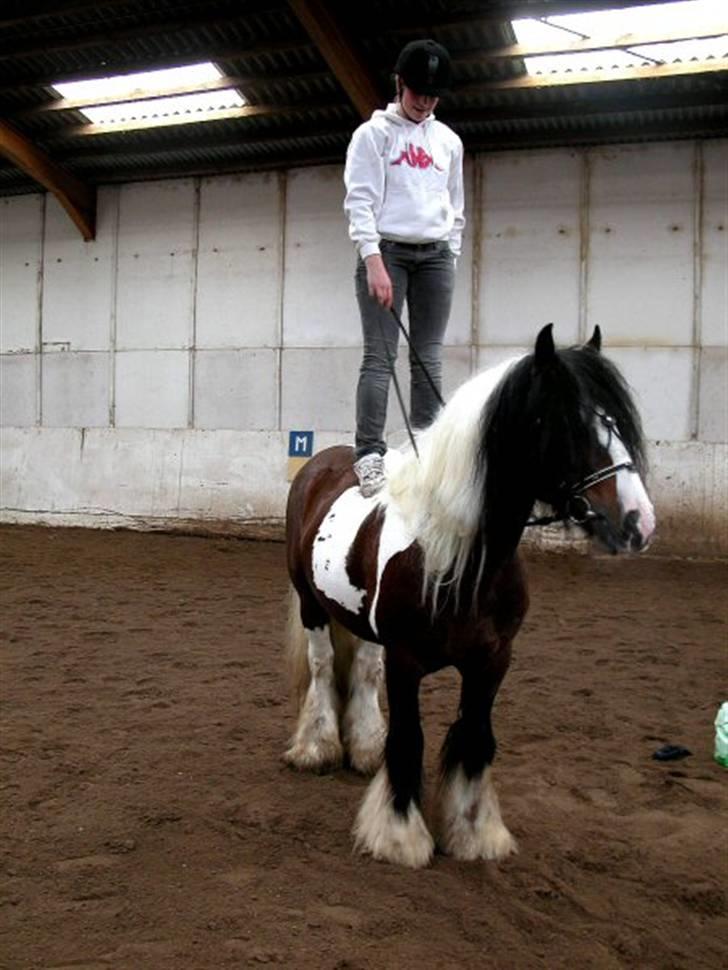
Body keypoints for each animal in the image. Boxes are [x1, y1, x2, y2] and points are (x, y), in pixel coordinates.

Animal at [282, 326, 656, 868]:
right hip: (311, 605)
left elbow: (477, 737)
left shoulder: (493, 661)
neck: (457, 557)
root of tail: (323, 461)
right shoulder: (407, 662)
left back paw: (365, 748)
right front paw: (400, 835)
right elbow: (410, 739)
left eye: (618, 423)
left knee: (364, 669)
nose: (638, 522)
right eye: (567, 422)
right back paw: (316, 747)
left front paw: (475, 832)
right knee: (322, 666)